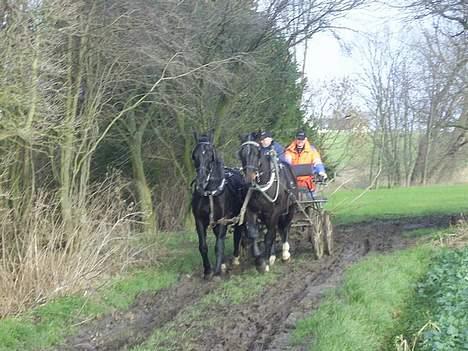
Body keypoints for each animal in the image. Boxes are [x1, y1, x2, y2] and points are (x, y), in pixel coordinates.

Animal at [192, 131, 247, 280]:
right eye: (194, 155)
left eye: (210, 154)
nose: (201, 180)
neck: (210, 192)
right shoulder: (199, 220)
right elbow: (203, 246)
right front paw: (207, 271)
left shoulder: (223, 219)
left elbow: (218, 246)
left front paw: (216, 272)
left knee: (237, 234)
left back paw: (235, 258)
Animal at [238, 133, 296, 274]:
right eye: (241, 153)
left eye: (257, 152)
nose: (249, 179)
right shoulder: (252, 211)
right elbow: (253, 234)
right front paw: (260, 261)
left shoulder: (275, 212)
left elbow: (269, 236)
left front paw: (264, 262)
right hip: (265, 216)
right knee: (275, 230)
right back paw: (272, 256)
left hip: (290, 209)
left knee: (285, 227)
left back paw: (285, 253)